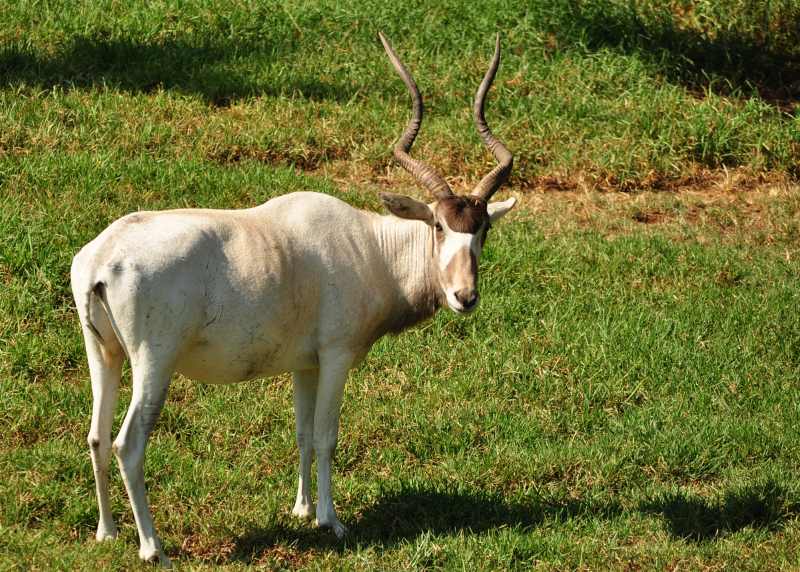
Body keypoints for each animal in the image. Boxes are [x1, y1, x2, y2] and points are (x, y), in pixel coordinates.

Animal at [70, 33, 520, 564]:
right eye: (437, 226)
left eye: (483, 228)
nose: (464, 296)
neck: (371, 246)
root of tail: (101, 260)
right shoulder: (337, 355)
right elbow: (326, 436)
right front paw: (331, 521)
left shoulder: (305, 364)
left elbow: (303, 432)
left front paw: (302, 510)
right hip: (153, 363)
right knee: (127, 443)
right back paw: (152, 548)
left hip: (104, 354)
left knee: (97, 436)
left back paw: (107, 532)